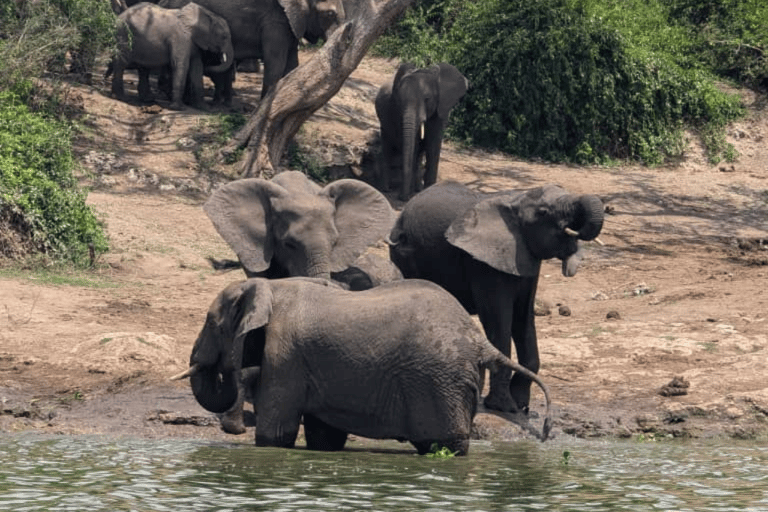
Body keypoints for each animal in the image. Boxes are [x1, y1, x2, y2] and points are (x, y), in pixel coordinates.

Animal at [172, 278, 552, 454]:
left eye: (212, 324)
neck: (268, 287)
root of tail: (477, 338)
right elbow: (324, 438)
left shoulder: (285, 357)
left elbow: (275, 435)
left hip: (439, 380)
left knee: (444, 444)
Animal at [376, 62, 472, 200]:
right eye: (399, 100)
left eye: (427, 99)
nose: (402, 197)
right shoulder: (397, 111)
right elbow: (414, 144)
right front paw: (409, 195)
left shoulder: (441, 105)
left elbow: (432, 142)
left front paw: (429, 191)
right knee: (387, 146)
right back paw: (386, 189)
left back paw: (417, 189)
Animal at [390, 182, 608, 414]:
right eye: (543, 212)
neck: (516, 200)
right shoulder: (483, 263)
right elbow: (498, 319)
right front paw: (503, 407)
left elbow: (523, 318)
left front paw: (521, 405)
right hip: (405, 255)